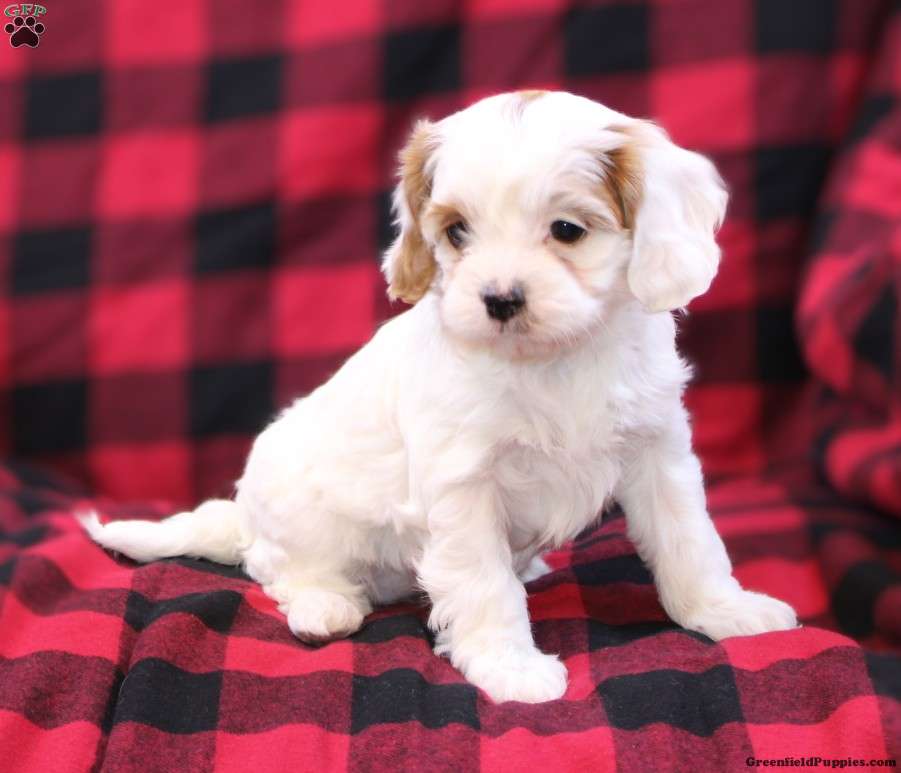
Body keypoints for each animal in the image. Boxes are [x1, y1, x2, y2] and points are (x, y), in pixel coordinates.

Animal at [83, 91, 798, 704]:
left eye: (567, 229)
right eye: (456, 233)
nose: (499, 299)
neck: (554, 358)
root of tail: (243, 517)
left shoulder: (657, 451)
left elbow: (688, 540)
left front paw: (724, 610)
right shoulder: (465, 485)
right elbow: (482, 582)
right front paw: (510, 667)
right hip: (301, 524)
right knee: (279, 570)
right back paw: (325, 606)